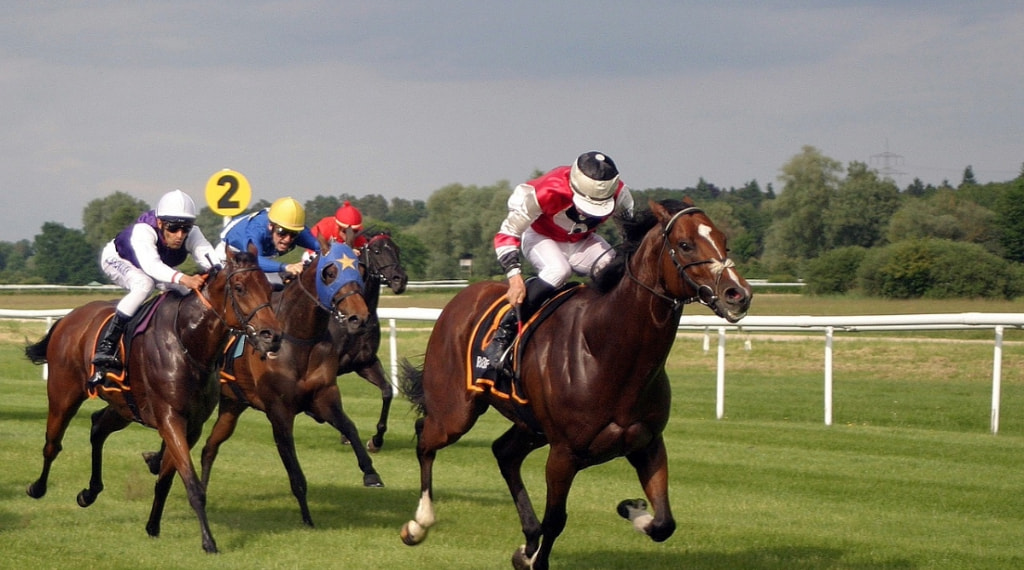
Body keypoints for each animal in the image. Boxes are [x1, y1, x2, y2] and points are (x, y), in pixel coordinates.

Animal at [24, 247, 280, 552]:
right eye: (239, 288)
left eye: (269, 288)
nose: (272, 336)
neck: (188, 340)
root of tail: (68, 318)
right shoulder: (170, 418)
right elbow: (192, 484)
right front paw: (208, 541)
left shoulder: (191, 425)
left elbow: (166, 479)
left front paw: (153, 526)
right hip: (64, 394)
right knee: (53, 444)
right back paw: (37, 488)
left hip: (123, 406)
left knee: (97, 427)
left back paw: (89, 492)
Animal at [397, 197, 753, 564]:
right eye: (684, 245)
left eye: (724, 241)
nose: (737, 294)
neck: (606, 349)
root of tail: (460, 299)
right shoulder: (564, 454)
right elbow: (555, 520)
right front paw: (537, 556)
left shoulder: (648, 443)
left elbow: (664, 523)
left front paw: (632, 509)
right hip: (455, 413)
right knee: (425, 436)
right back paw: (419, 524)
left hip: (531, 425)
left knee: (504, 452)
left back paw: (527, 541)